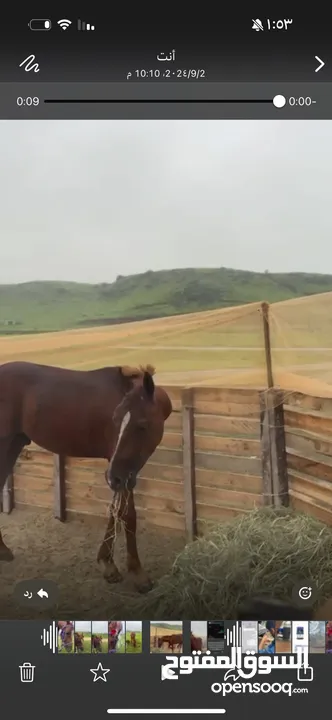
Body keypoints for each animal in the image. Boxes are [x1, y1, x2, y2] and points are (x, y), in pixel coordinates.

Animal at [0, 360, 171, 592]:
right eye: (115, 420)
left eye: (142, 425)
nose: (113, 476)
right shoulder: (121, 469)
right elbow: (127, 514)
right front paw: (137, 573)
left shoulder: (121, 472)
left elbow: (116, 511)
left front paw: (108, 563)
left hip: (14, 443)